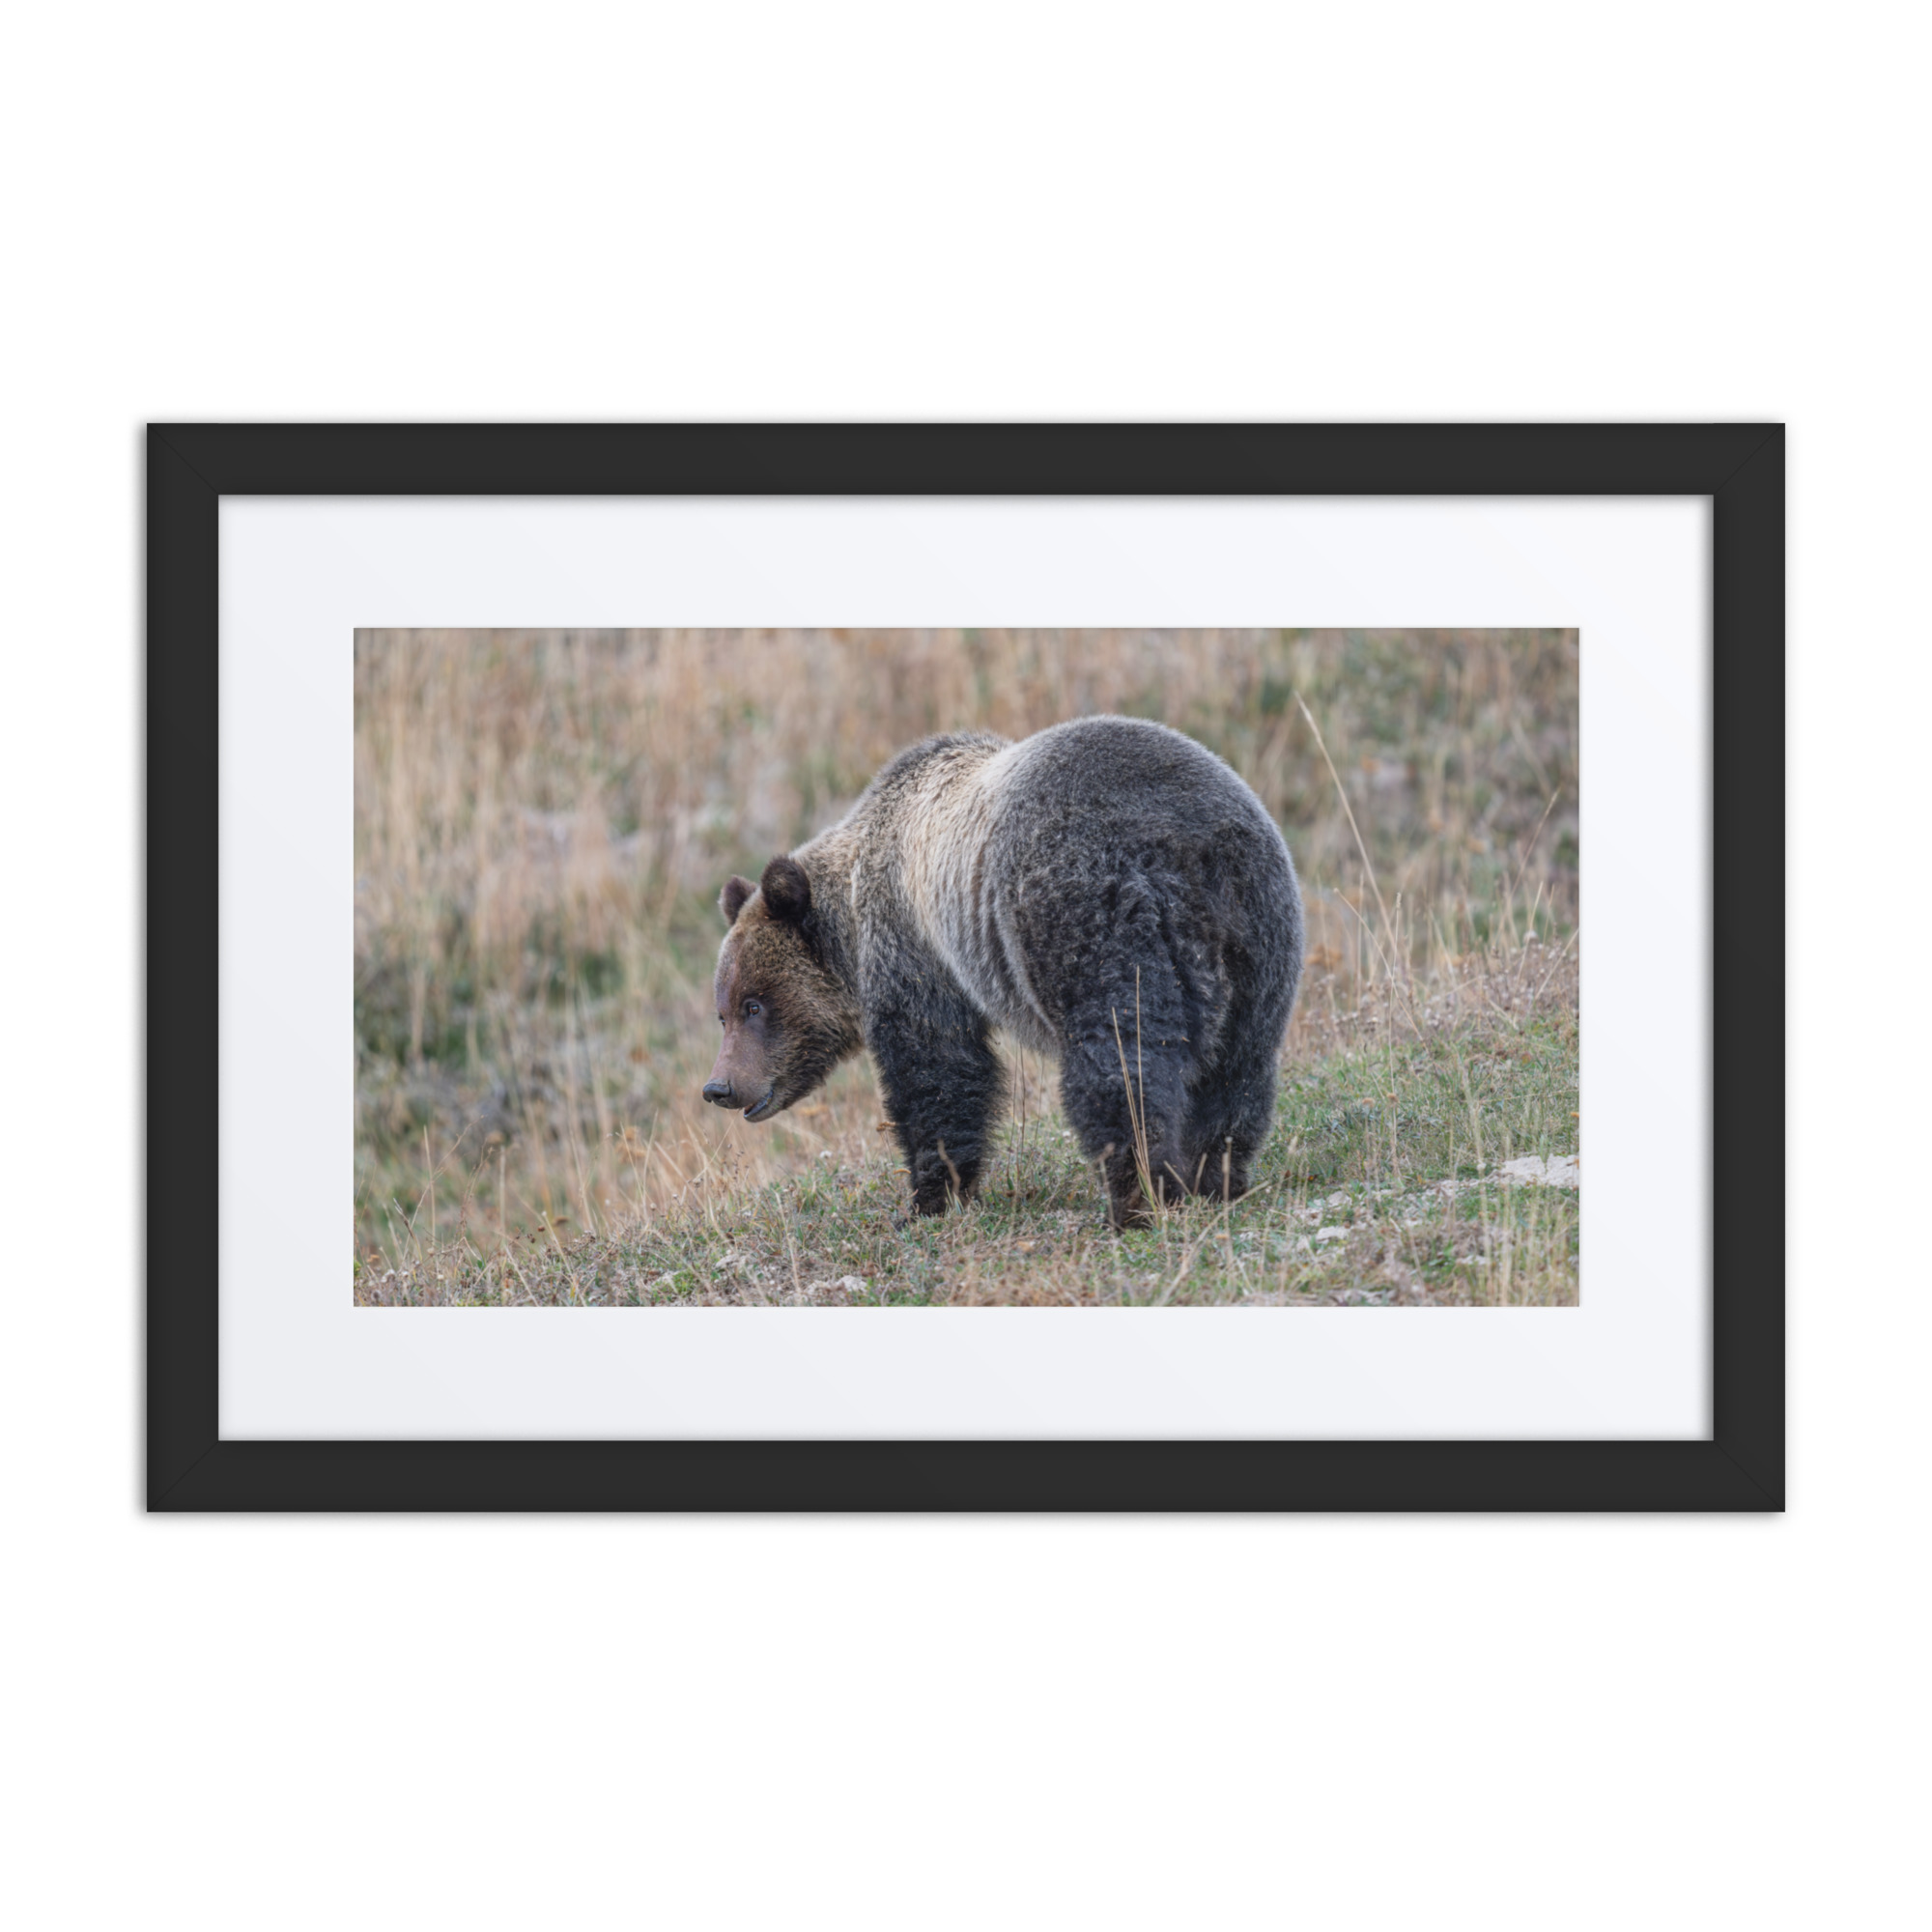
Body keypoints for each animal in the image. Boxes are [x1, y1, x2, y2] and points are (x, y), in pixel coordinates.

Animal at [702, 715, 1304, 1228]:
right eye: (723, 1012)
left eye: (754, 1005)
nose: (719, 1087)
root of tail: (1187, 847)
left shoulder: (916, 949)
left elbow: (938, 1070)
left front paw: (929, 1198)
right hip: (1259, 934)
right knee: (1238, 1067)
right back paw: (1214, 1177)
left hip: (1089, 915)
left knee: (1121, 1062)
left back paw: (1137, 1198)